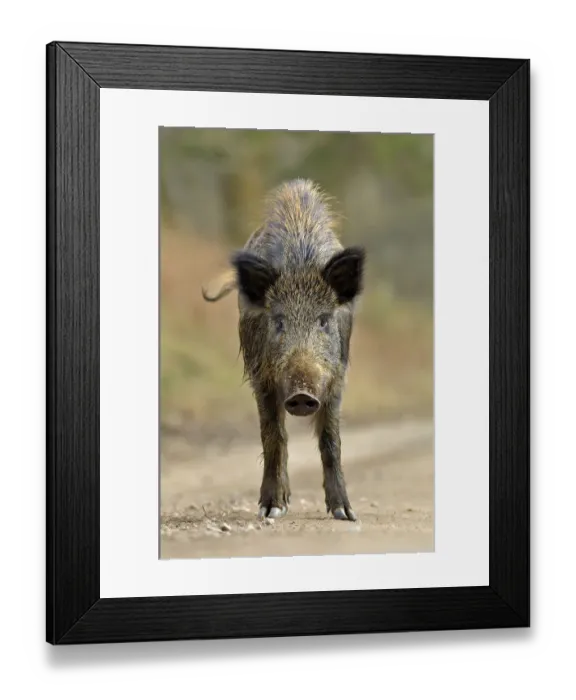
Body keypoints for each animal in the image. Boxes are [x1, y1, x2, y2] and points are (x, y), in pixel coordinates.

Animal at [202, 178, 365, 521]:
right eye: (278, 321)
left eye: (324, 320)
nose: (302, 393)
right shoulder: (260, 375)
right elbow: (273, 434)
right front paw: (271, 509)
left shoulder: (336, 377)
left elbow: (331, 440)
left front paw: (345, 513)